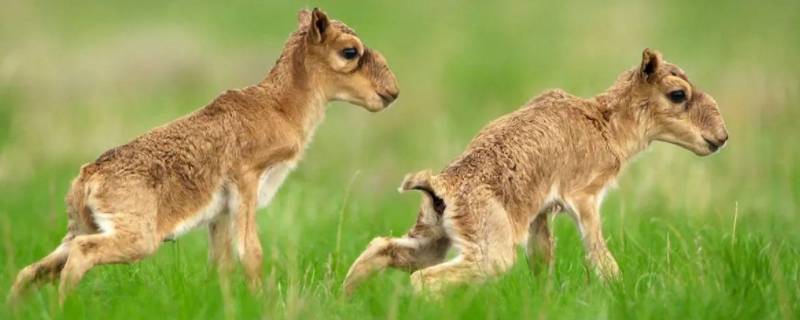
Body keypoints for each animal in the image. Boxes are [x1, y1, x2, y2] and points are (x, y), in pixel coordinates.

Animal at [10, 7, 398, 302]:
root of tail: (87, 177)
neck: (280, 107)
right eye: (350, 51)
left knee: (30, 271)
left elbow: (221, 263)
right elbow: (251, 252)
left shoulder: (220, 214)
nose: (392, 92)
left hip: (80, 229)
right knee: (80, 256)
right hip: (137, 239)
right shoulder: (246, 185)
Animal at [344, 48, 724, 296]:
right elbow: (599, 254)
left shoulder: (540, 214)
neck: (606, 122)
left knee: (383, 248)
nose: (720, 138)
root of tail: (440, 186)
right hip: (491, 255)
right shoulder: (583, 199)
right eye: (678, 94)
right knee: (424, 280)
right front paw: (620, 288)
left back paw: (345, 296)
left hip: (432, 238)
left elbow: (542, 260)